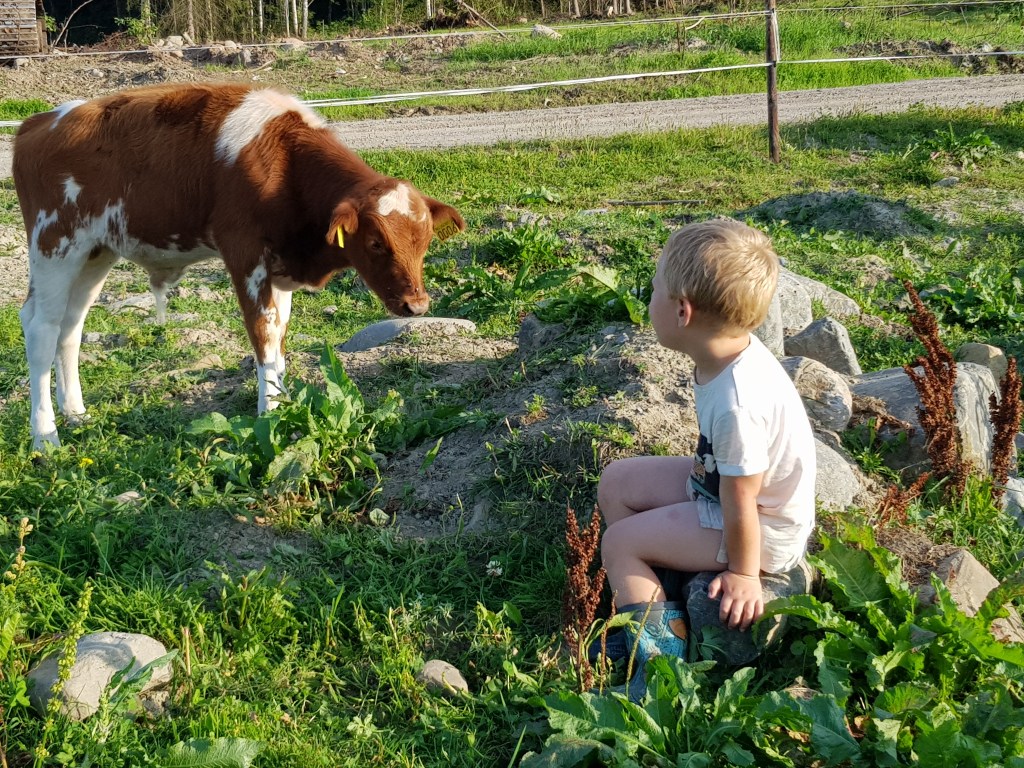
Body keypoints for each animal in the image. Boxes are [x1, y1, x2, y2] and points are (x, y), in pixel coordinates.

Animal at [12, 83, 465, 450]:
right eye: (375, 242)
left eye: (425, 242)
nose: (417, 306)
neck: (284, 163)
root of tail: (40, 121)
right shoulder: (245, 254)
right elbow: (263, 332)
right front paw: (269, 416)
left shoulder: (281, 269)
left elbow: (279, 337)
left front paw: (283, 403)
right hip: (54, 244)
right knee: (41, 329)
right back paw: (45, 437)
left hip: (95, 253)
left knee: (71, 327)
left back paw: (75, 413)